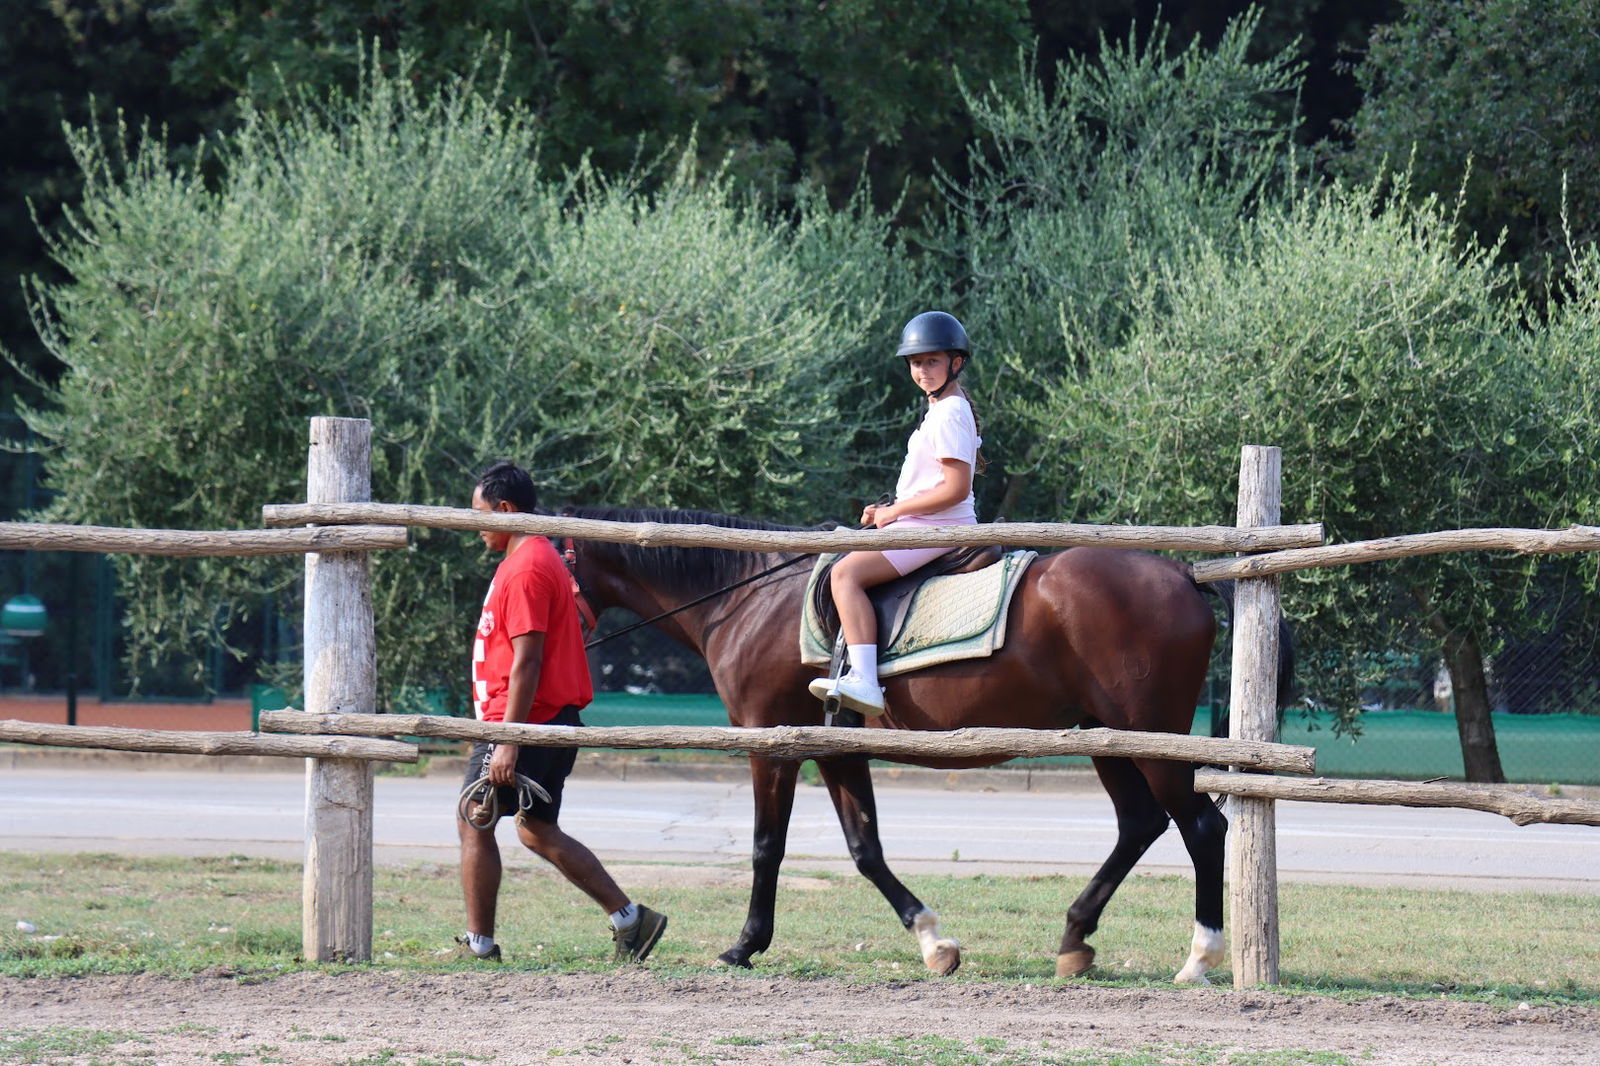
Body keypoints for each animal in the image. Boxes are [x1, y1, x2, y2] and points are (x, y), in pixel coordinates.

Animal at [559, 505, 1292, 983]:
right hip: (1103, 735)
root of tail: (1184, 579)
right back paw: (1075, 938)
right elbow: (866, 850)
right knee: (1140, 824)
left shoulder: (773, 745)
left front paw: (743, 946)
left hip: (1149, 737)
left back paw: (1199, 957)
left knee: (1200, 828)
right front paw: (933, 941)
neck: (750, 600)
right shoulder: (837, 750)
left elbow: (768, 847)